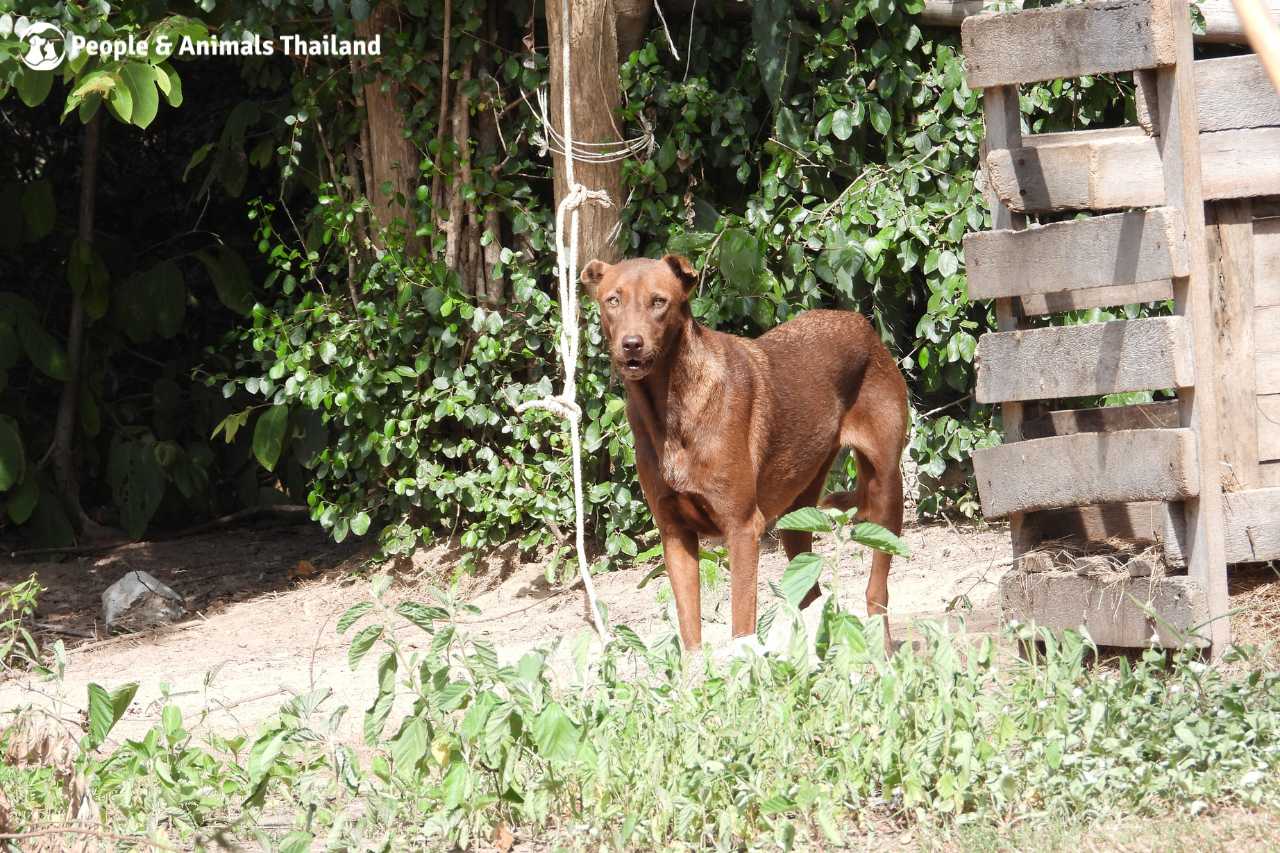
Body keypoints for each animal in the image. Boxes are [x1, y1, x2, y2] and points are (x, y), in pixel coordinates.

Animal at [583, 251, 911, 645]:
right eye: (612, 300)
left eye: (659, 301)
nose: (631, 343)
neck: (668, 411)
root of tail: (862, 324)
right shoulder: (675, 535)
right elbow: (690, 635)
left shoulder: (741, 528)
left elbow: (742, 629)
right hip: (797, 513)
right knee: (811, 598)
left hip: (885, 489)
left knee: (877, 592)